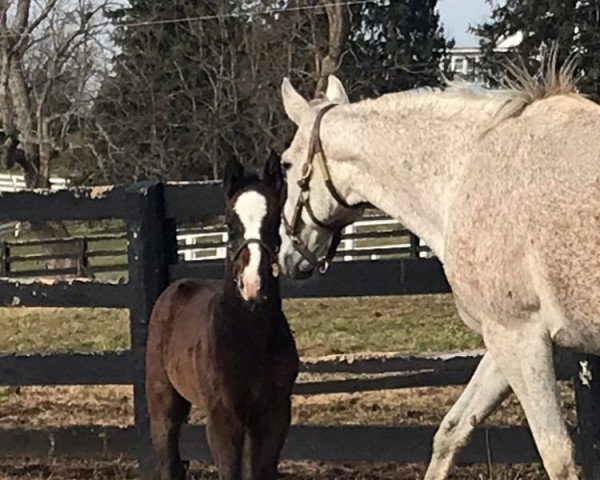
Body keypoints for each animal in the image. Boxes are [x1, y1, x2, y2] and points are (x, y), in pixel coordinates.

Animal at [146, 155, 300, 480]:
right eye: (229, 224)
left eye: (275, 222)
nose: (253, 286)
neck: (249, 336)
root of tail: (175, 287)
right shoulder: (223, 415)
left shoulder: (274, 413)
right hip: (163, 401)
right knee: (168, 462)